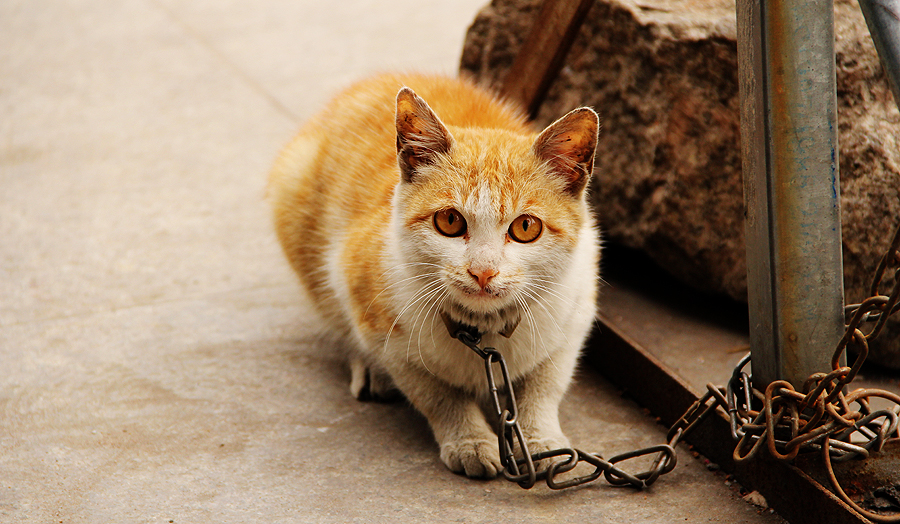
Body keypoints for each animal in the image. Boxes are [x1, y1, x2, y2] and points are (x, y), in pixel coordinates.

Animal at [268, 73, 604, 478]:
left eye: (526, 227)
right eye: (449, 221)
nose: (483, 271)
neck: (484, 329)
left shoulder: (577, 305)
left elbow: (547, 382)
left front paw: (542, 438)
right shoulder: (370, 303)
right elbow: (435, 391)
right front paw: (469, 440)